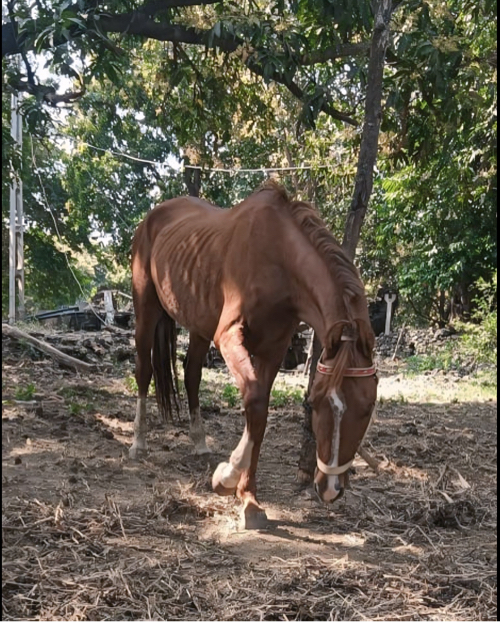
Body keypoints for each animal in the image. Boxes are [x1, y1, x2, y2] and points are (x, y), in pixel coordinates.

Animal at [131, 182, 376, 532]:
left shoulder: (272, 350)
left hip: (199, 324)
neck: (278, 259)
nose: (329, 489)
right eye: (314, 404)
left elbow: (258, 417)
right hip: (146, 307)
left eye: (368, 408)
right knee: (144, 371)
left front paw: (249, 498)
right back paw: (138, 443)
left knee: (191, 375)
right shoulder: (229, 336)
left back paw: (200, 443)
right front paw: (226, 478)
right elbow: (256, 406)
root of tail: (154, 215)